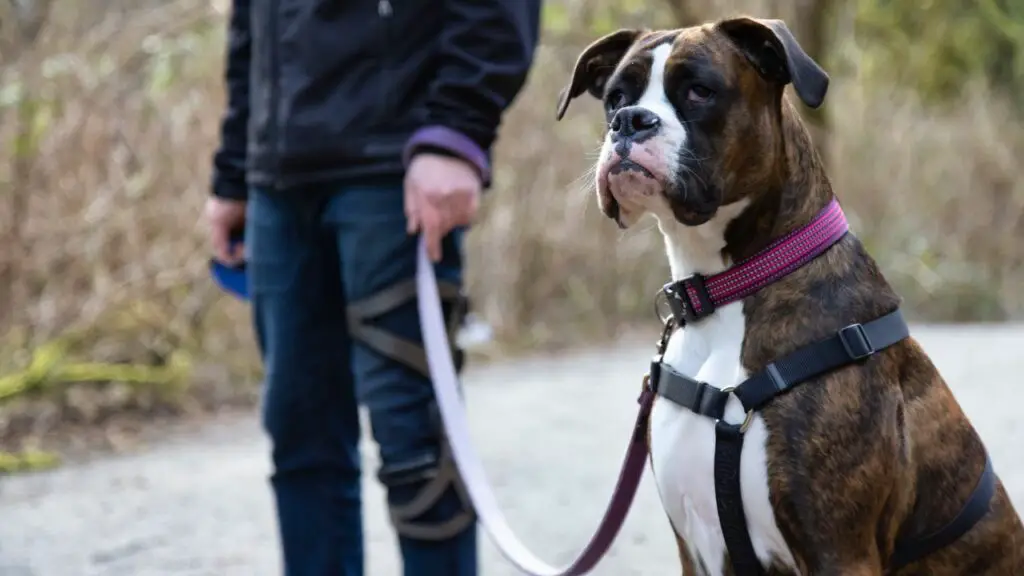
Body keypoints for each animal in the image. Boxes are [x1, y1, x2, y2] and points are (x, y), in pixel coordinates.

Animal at [557, 14, 1019, 573]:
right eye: (615, 97)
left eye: (699, 91)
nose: (629, 121)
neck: (725, 289)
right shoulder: (696, 549)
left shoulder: (839, 550)